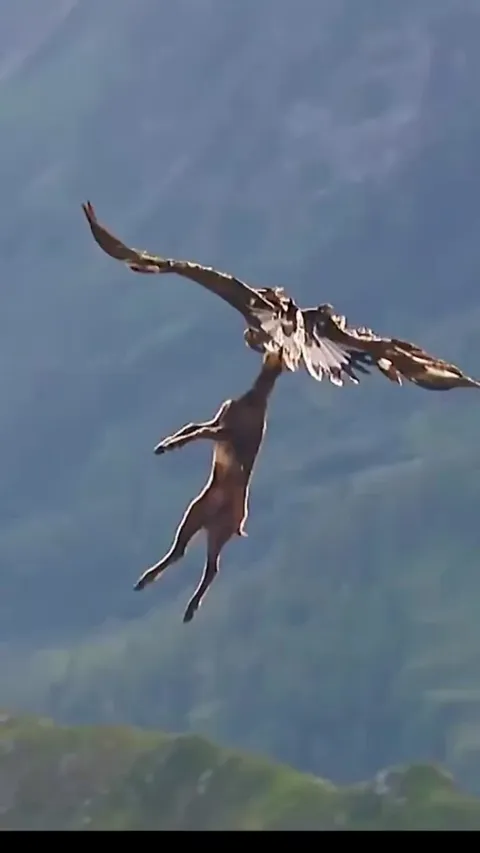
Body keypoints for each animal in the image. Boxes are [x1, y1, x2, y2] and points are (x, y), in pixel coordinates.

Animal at [134, 350, 284, 623]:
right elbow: (194, 426)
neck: (254, 399)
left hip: (220, 529)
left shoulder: (227, 431)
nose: (271, 354)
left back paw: (188, 609)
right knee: (182, 550)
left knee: (212, 567)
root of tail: (238, 523)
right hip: (197, 513)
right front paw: (164, 446)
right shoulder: (219, 420)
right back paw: (147, 581)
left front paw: (169, 445)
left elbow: (199, 431)